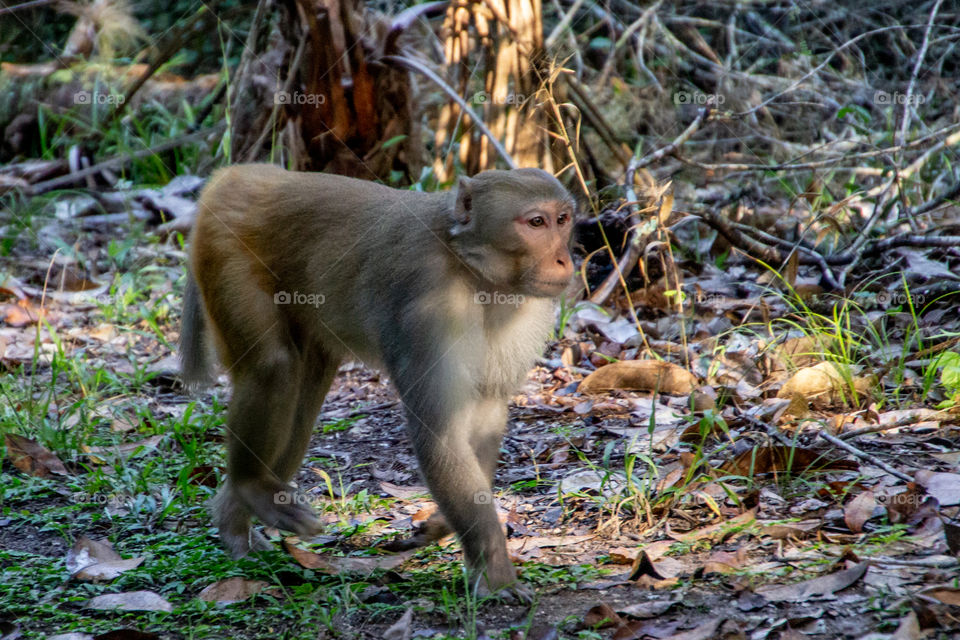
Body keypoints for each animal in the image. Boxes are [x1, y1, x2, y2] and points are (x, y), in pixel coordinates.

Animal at [180, 164, 576, 601]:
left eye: (562, 219)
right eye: (536, 223)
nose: (564, 259)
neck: (470, 268)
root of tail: (239, 174)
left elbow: (484, 415)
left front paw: (442, 525)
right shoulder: (429, 308)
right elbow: (439, 434)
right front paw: (497, 572)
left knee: (304, 396)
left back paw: (235, 518)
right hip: (226, 248)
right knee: (274, 369)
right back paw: (250, 487)